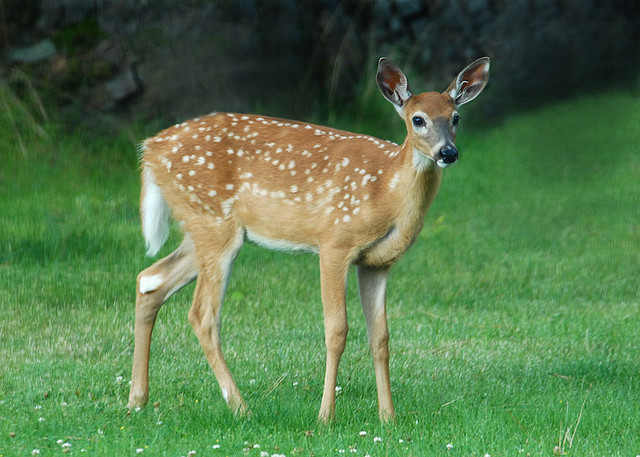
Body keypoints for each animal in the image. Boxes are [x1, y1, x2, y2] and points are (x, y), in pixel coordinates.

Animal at [129, 55, 490, 422]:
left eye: (456, 117)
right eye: (418, 120)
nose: (447, 152)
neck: (387, 192)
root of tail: (149, 149)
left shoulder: (377, 262)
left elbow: (381, 337)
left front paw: (388, 417)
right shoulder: (334, 241)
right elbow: (336, 331)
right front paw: (325, 415)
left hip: (203, 227)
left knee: (150, 280)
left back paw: (137, 400)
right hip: (213, 223)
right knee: (202, 314)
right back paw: (241, 407)